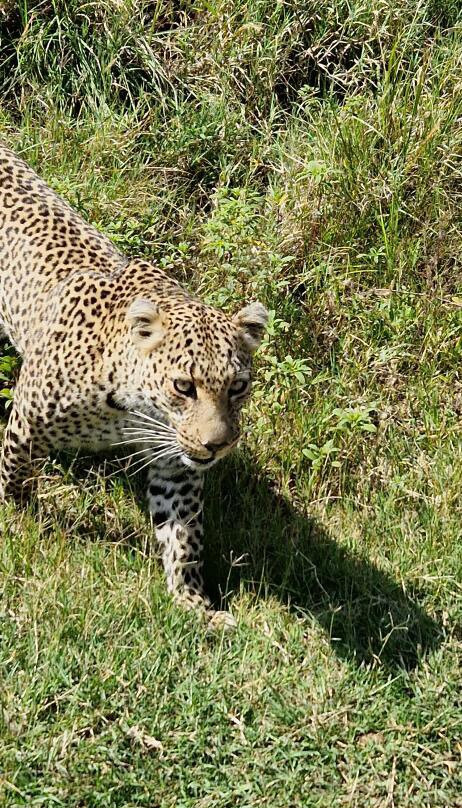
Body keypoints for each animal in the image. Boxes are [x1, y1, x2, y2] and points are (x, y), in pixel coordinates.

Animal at [0, 143, 268, 629]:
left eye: (237, 387)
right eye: (184, 386)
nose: (217, 445)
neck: (129, 407)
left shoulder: (176, 464)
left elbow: (184, 537)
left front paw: (193, 603)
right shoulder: (28, 417)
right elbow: (15, 473)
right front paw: (20, 517)